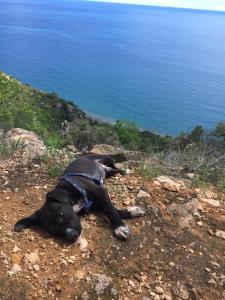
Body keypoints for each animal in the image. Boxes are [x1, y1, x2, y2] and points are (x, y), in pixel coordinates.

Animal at [15, 154, 146, 243]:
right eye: (52, 231)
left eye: (61, 214)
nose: (72, 237)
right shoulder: (94, 205)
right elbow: (115, 211)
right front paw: (133, 211)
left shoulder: (100, 192)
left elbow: (110, 210)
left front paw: (120, 228)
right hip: (108, 172)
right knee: (113, 169)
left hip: (106, 158)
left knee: (114, 164)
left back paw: (126, 170)